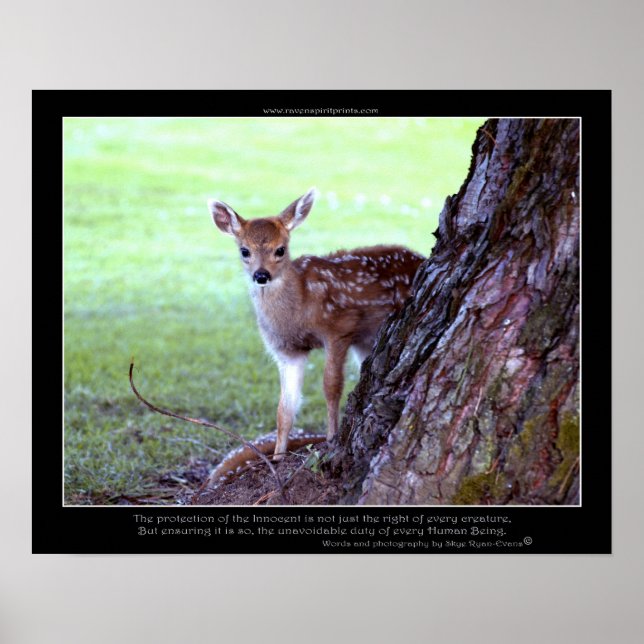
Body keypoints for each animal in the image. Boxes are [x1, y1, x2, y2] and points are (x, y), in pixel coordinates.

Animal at [206, 188, 424, 482]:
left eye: (280, 249)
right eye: (244, 251)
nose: (261, 275)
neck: (298, 309)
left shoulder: (339, 328)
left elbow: (331, 386)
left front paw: (332, 438)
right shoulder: (287, 351)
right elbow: (284, 409)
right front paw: (278, 458)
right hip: (367, 341)